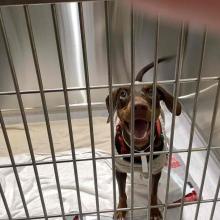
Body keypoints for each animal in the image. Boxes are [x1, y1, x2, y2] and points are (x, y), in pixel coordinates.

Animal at [105, 56, 181, 218]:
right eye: (123, 94)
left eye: (152, 92)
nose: (139, 106)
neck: (140, 149)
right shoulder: (120, 170)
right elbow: (122, 193)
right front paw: (121, 210)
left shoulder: (155, 171)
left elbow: (153, 193)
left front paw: (154, 211)